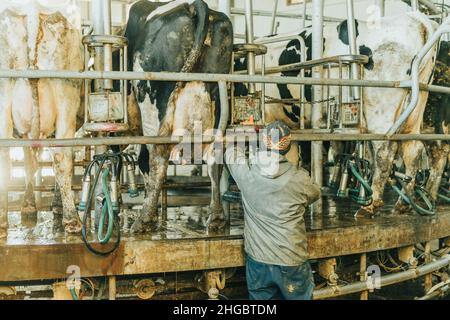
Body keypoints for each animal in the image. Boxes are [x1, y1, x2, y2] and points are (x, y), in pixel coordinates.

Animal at [0, 0, 83, 238]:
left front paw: (29, 207)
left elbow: (30, 163)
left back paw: (2, 222)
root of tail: (32, 9)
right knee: (62, 158)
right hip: (66, 98)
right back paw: (72, 219)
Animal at [122, 0, 236, 231]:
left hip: (153, 104)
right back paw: (217, 217)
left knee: (157, 156)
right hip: (217, 102)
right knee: (214, 157)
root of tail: (194, 5)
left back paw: (144, 220)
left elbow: (144, 163)